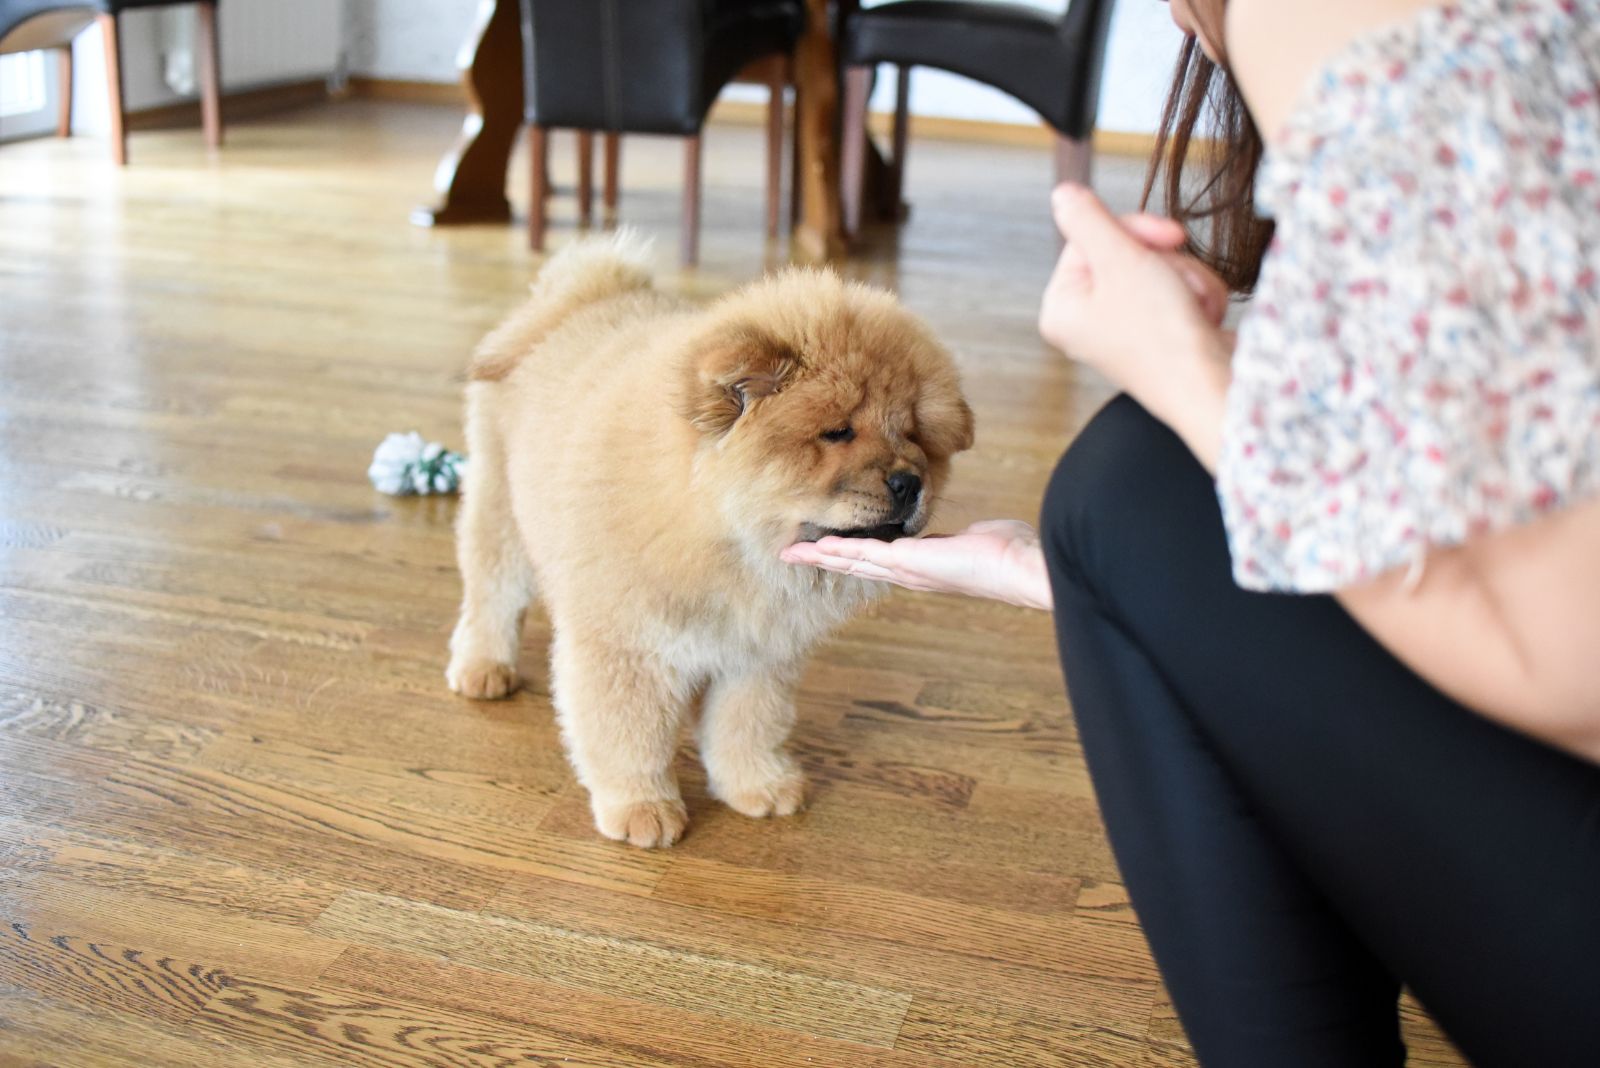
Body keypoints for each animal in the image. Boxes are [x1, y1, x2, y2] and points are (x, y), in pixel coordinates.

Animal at [448, 235, 972, 850]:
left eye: (914, 434)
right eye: (838, 432)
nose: (910, 482)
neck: (732, 547)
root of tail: (578, 296)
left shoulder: (758, 656)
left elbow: (747, 724)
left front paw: (758, 785)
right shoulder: (626, 646)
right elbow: (628, 733)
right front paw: (644, 808)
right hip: (500, 507)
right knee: (492, 596)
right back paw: (483, 667)